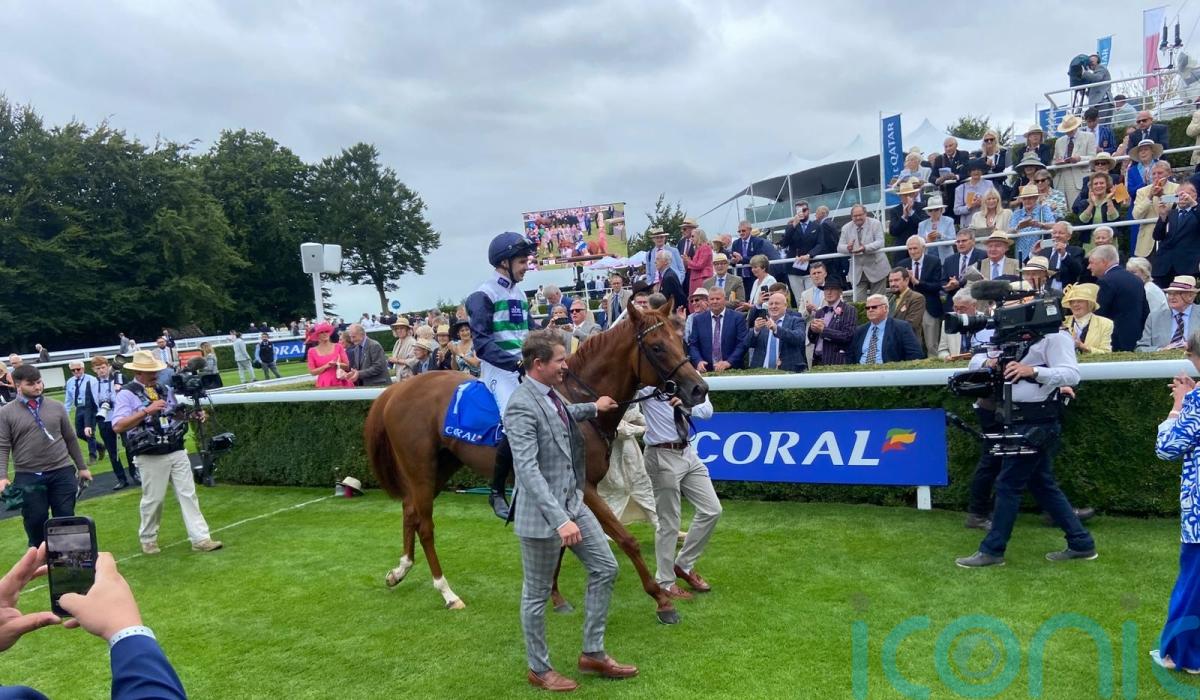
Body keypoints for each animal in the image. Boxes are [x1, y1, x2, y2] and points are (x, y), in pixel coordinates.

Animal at [365, 301, 708, 624]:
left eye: (681, 341)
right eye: (657, 347)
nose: (699, 388)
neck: (576, 400)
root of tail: (396, 389)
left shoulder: (567, 489)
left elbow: (561, 542)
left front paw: (554, 594)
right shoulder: (584, 487)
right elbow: (627, 540)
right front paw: (661, 599)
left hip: (442, 466)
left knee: (409, 510)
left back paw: (400, 570)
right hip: (421, 469)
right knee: (424, 524)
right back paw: (447, 591)